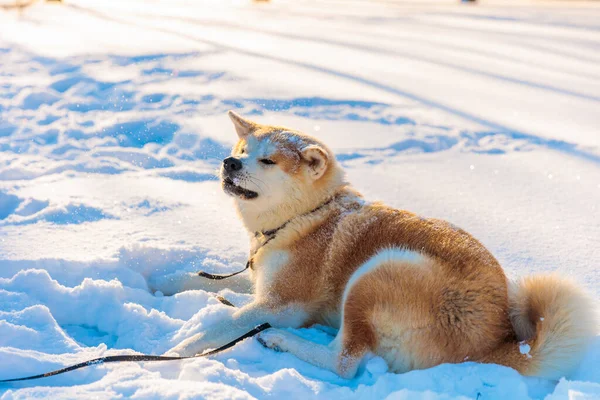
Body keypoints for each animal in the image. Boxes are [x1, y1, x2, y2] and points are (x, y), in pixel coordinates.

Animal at [166, 111, 596, 380]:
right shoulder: (263, 280)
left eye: (268, 161)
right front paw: (168, 281)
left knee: (344, 362)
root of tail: (495, 342)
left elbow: (225, 323)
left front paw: (179, 347)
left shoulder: (284, 304)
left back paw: (280, 339)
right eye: (241, 151)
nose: (229, 163)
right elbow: (206, 279)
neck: (307, 216)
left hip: (375, 274)